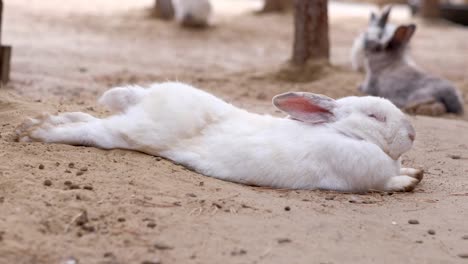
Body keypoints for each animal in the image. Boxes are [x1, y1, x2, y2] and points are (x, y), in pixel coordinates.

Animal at [16, 82, 422, 192]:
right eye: (374, 116)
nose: (412, 133)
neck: (347, 133)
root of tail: (146, 97)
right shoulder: (364, 176)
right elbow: (388, 183)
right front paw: (409, 180)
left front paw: (414, 171)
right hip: (132, 132)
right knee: (89, 130)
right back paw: (35, 131)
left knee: (86, 116)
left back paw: (40, 120)